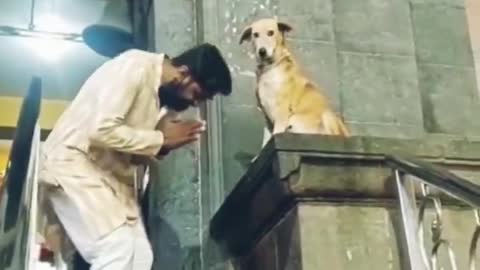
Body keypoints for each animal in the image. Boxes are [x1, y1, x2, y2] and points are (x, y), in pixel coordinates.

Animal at [239, 18, 348, 148]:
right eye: (255, 35)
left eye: (271, 32)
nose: (262, 51)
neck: (269, 69)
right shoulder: (266, 116)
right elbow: (266, 141)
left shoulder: (282, 111)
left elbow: (276, 132)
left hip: (328, 116)